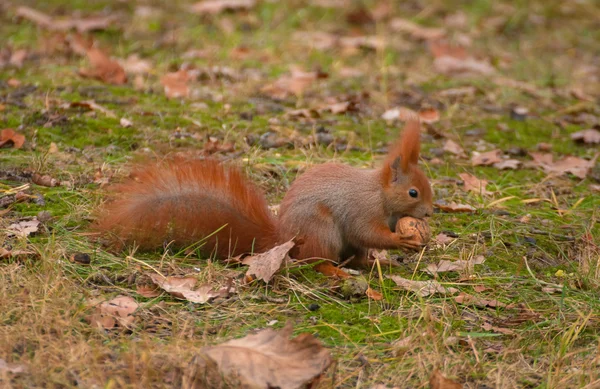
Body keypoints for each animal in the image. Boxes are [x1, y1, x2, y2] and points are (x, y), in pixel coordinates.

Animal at [94, 119, 432, 274]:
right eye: (413, 192)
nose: (429, 213)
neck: (381, 194)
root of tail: (284, 239)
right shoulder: (363, 208)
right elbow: (367, 231)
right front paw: (401, 239)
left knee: (356, 257)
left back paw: (374, 265)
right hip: (320, 230)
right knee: (315, 261)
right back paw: (336, 272)